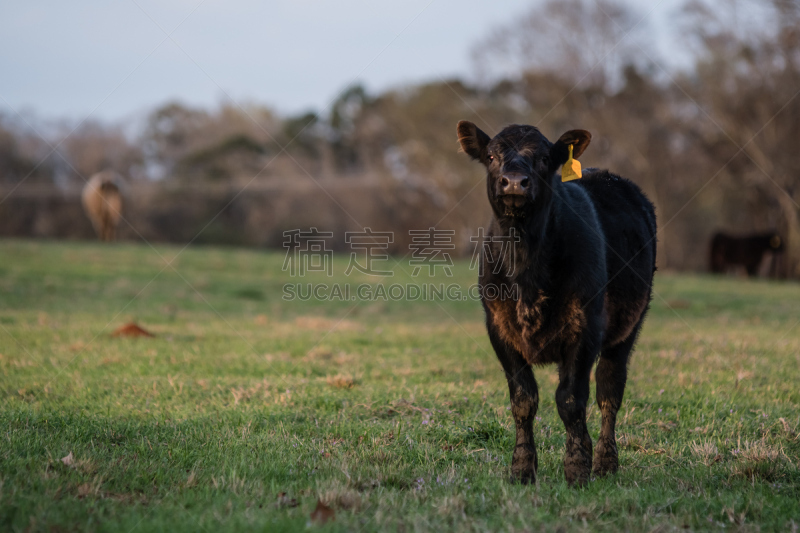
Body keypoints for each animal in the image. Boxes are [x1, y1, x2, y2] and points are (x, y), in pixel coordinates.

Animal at [456, 121, 656, 486]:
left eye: (545, 158)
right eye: (491, 156)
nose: (514, 182)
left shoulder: (585, 327)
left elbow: (571, 399)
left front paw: (577, 467)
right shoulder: (499, 330)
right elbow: (523, 399)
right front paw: (522, 468)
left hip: (627, 329)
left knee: (609, 391)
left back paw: (606, 462)